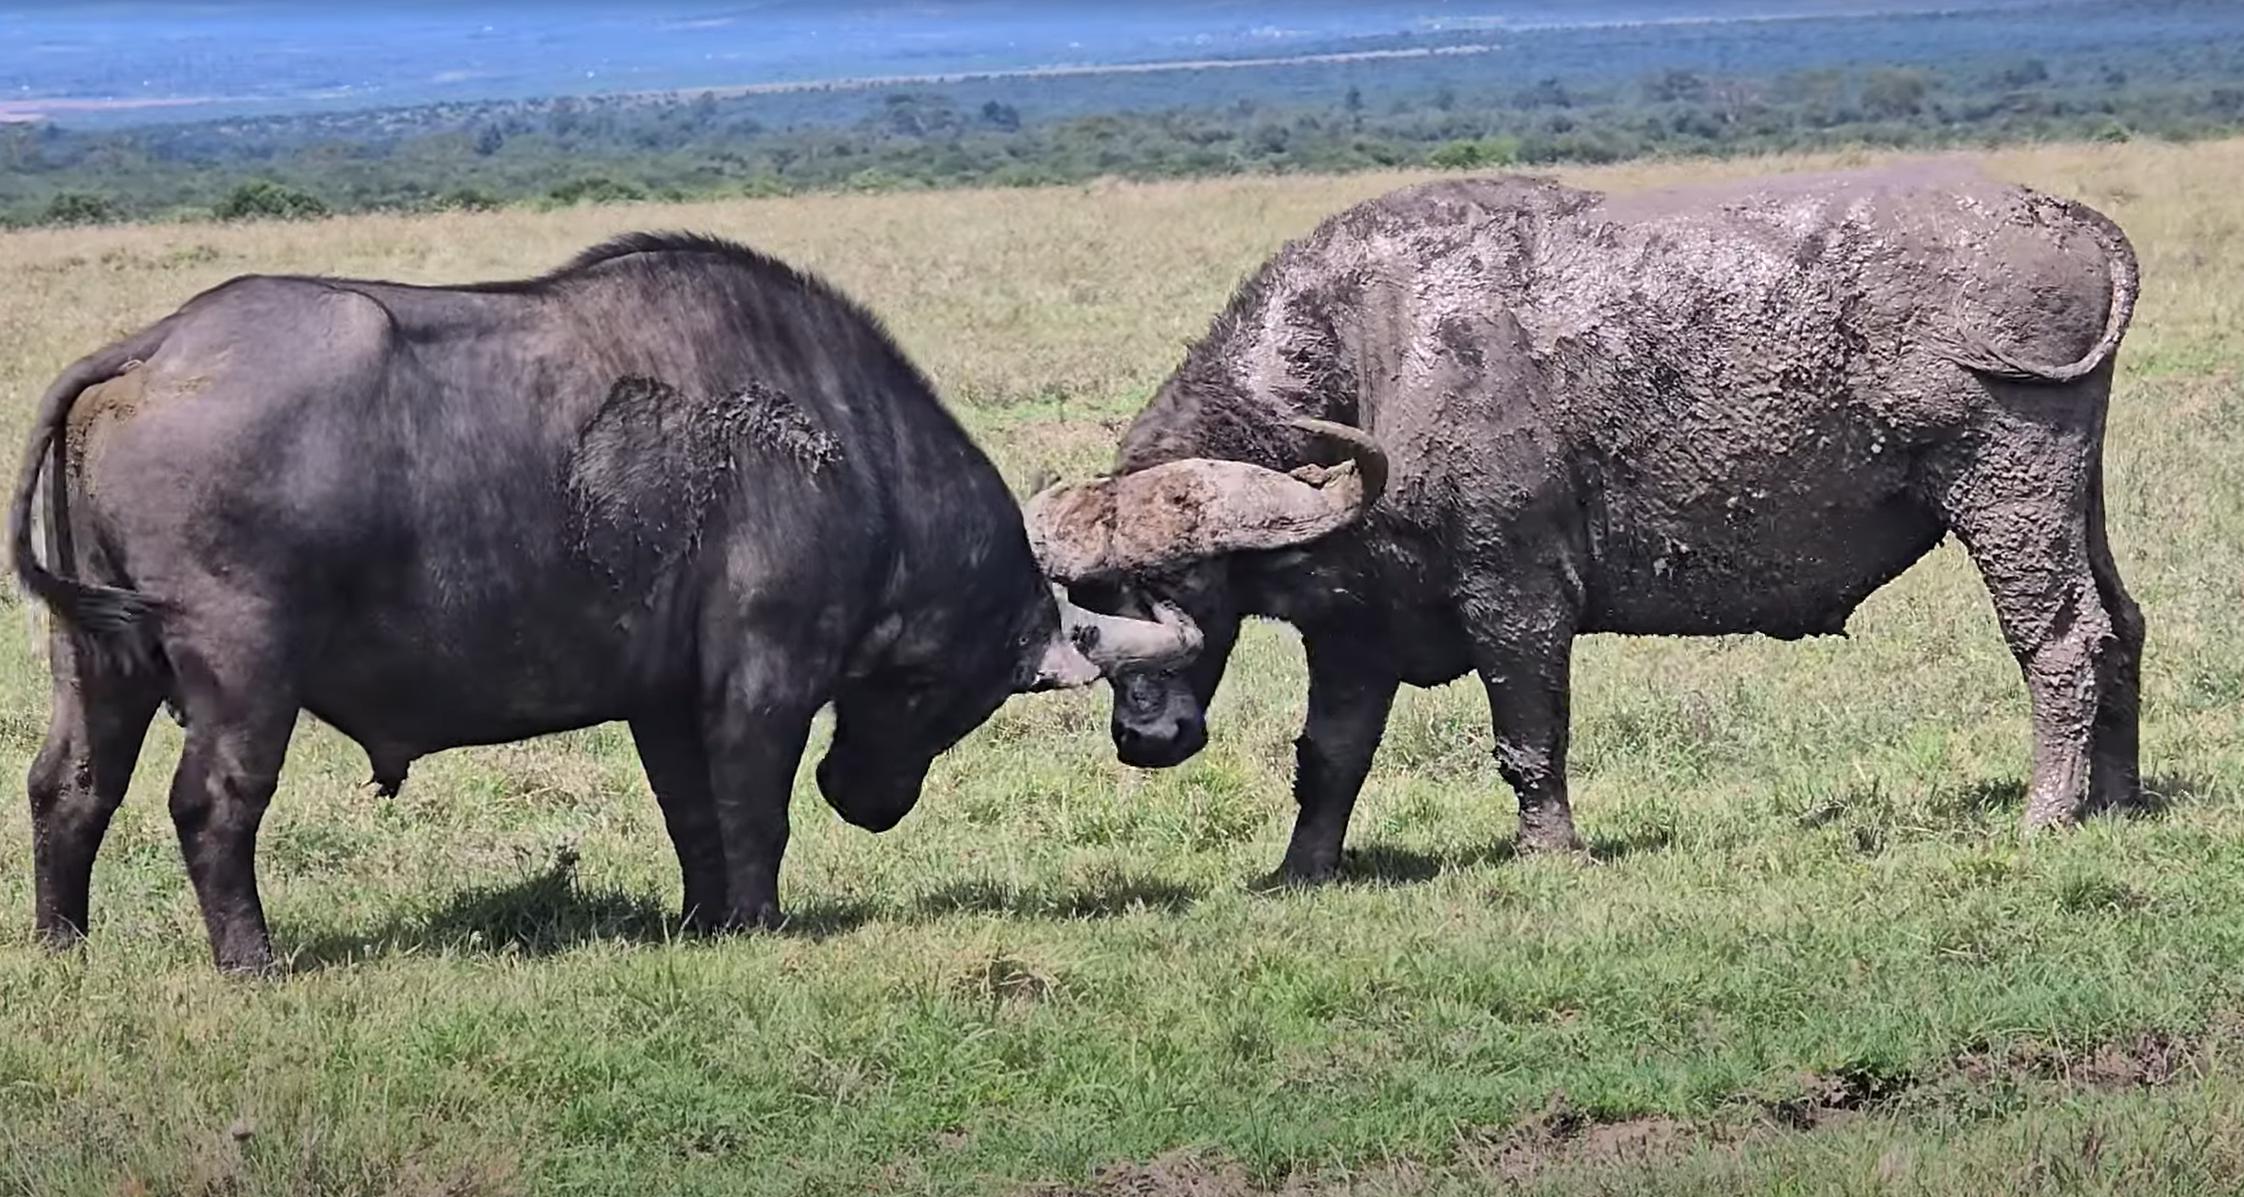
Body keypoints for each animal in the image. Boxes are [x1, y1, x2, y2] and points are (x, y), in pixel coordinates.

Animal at [10, 231, 1199, 972]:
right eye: (968, 694)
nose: (866, 800)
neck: (859, 460)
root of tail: (154, 348)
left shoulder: (664, 699)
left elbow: (692, 815)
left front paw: (706, 920)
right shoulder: (762, 682)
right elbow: (752, 806)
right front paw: (761, 922)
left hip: (97, 661)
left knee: (69, 788)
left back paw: (65, 946)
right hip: (244, 670)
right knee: (212, 803)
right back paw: (250, 960)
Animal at [1026, 165, 2143, 878]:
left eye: (1189, 589)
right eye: (1088, 598)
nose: (1147, 738)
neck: (1371, 362)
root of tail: (2068, 219)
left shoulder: (1516, 595)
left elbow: (1528, 735)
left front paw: (1549, 850)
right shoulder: (1354, 629)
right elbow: (1327, 758)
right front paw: (1300, 871)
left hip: (2006, 489)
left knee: (2059, 640)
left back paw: (2047, 814)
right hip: (2076, 493)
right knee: (2121, 625)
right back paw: (2117, 799)